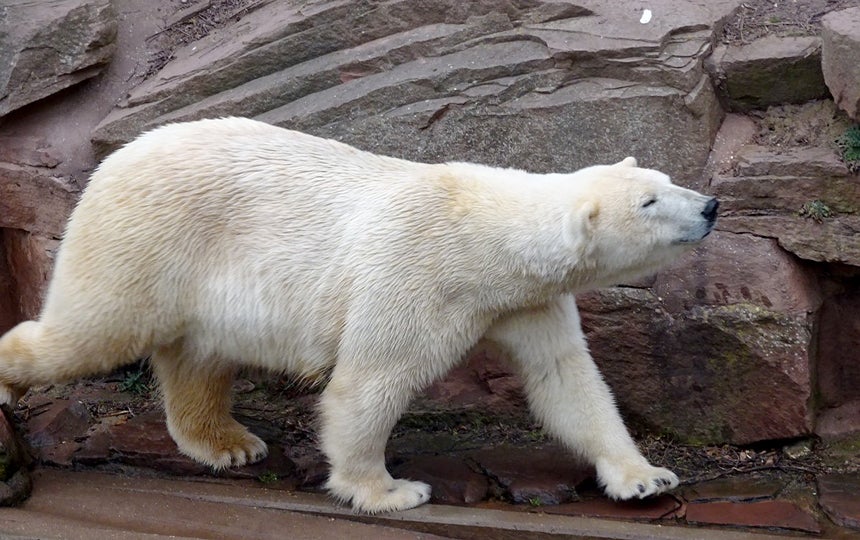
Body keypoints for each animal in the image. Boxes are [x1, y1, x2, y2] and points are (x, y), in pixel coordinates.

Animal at [0, 117, 720, 510]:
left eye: (666, 182)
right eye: (651, 202)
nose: (711, 204)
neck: (485, 234)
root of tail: (114, 159)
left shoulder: (526, 301)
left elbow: (567, 382)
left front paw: (645, 477)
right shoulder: (418, 274)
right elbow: (370, 382)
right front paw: (390, 490)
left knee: (199, 356)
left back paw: (228, 442)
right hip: (147, 238)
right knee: (90, 330)